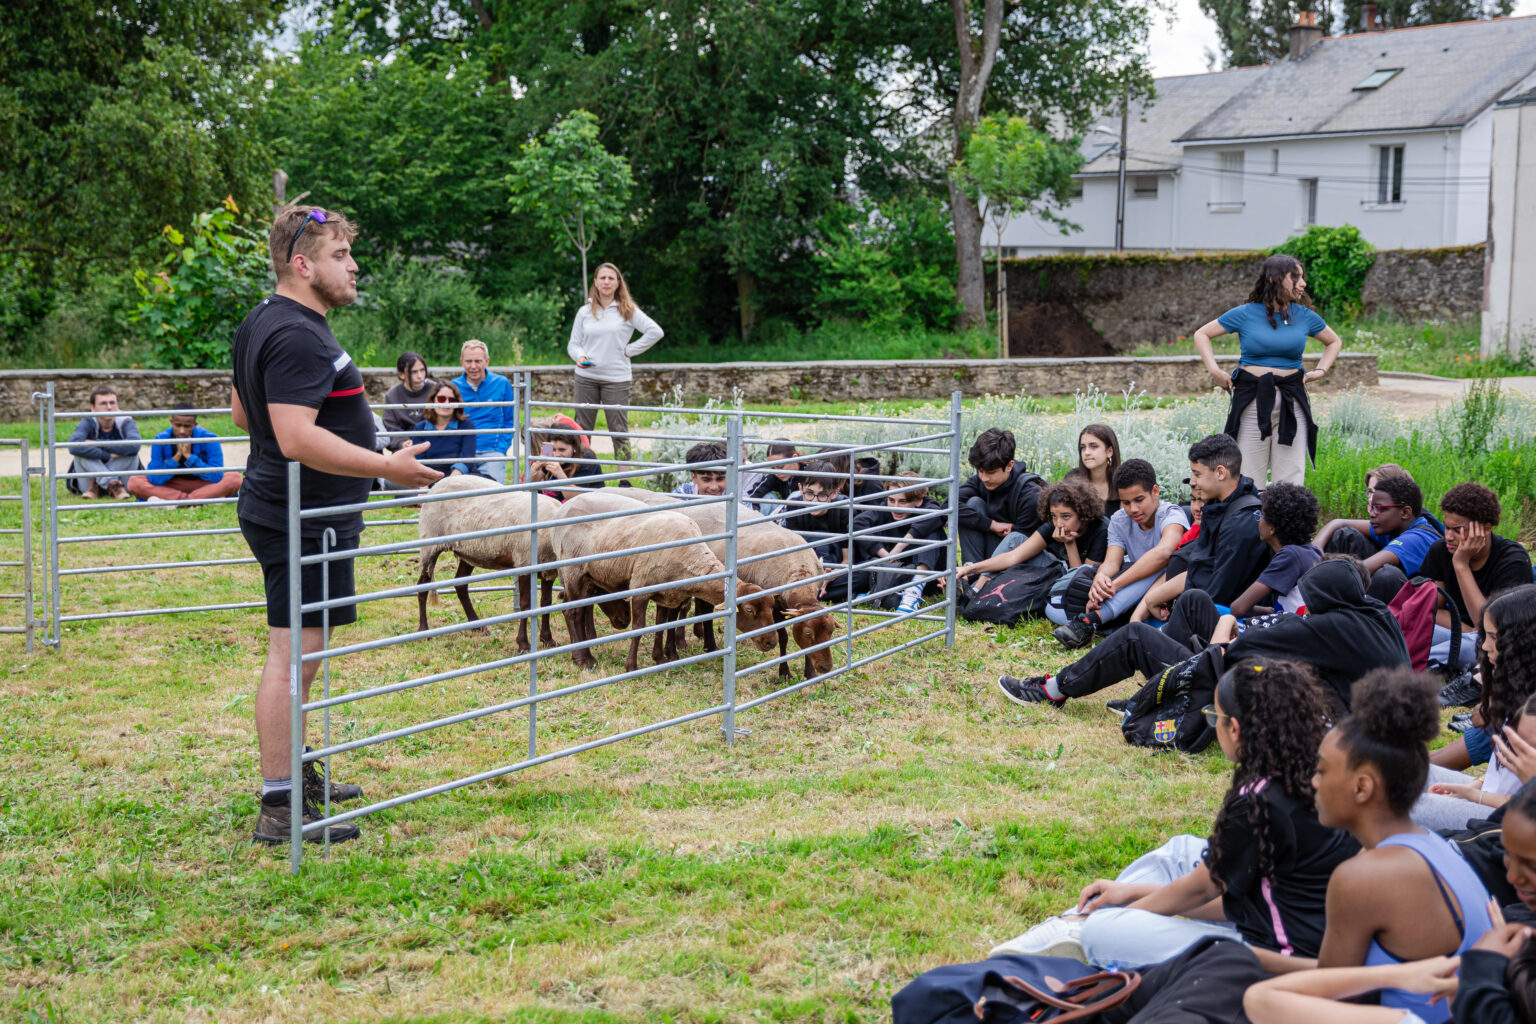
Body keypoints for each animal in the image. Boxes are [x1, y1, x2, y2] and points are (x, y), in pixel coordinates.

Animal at [417, 475, 568, 654]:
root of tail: (437, 484)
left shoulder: (548, 570)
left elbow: (546, 603)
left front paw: (548, 640)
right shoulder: (524, 562)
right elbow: (526, 605)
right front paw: (523, 644)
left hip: (468, 552)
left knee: (460, 585)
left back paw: (478, 626)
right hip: (429, 542)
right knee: (422, 586)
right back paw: (423, 630)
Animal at [546, 491, 774, 675]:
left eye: (772, 607)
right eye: (749, 610)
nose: (771, 642)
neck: (690, 555)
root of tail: (563, 507)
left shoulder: (668, 593)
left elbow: (662, 624)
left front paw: (661, 659)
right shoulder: (640, 587)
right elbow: (639, 628)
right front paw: (631, 666)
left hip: (587, 576)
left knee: (578, 609)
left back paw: (584, 655)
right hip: (573, 570)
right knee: (572, 613)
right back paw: (583, 660)